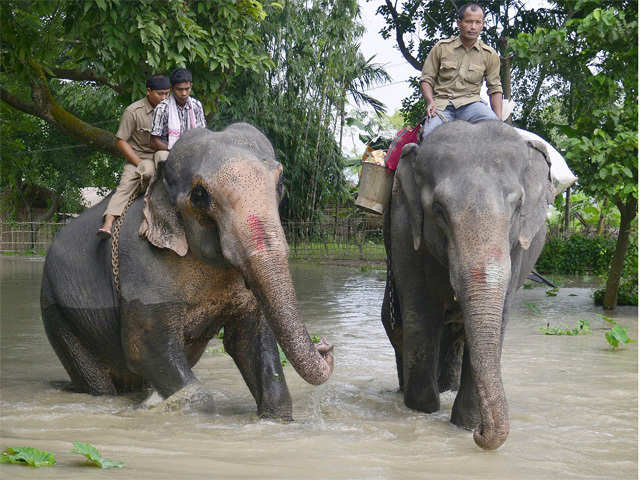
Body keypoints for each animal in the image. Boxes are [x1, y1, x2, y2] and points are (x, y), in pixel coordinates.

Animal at [380, 120, 556, 450]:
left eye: (518, 206)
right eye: (438, 209)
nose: (481, 434)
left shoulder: (518, 249)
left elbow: (498, 319)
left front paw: (466, 425)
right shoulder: (404, 227)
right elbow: (421, 316)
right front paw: (422, 413)